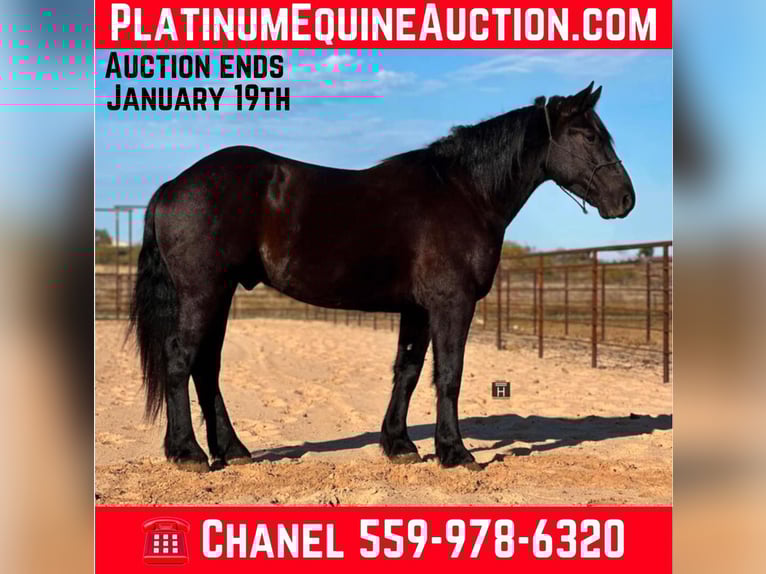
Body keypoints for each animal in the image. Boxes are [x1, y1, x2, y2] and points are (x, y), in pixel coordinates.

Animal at [129, 82, 635, 472]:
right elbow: (449, 374)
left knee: (207, 366)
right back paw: (188, 453)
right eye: (588, 135)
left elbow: (407, 371)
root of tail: (173, 186)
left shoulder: (417, 309)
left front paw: (400, 445)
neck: (464, 193)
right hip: (204, 291)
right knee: (181, 359)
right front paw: (455, 452)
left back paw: (232, 450)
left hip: (220, 292)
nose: (626, 200)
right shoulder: (452, 304)